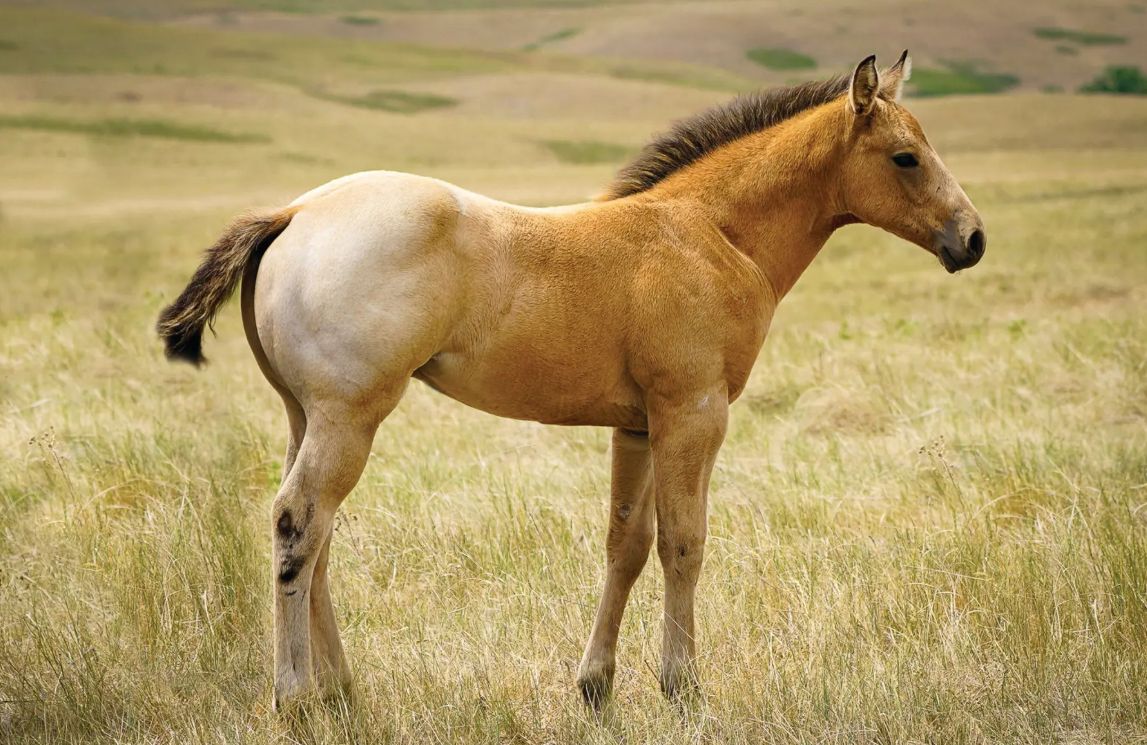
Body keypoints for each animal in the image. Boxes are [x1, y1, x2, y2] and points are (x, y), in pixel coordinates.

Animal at [156, 52, 985, 710]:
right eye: (905, 157)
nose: (971, 239)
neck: (710, 232)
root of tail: (294, 212)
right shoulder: (694, 413)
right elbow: (683, 542)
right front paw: (681, 685)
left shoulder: (637, 425)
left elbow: (626, 543)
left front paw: (595, 685)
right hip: (349, 416)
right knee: (298, 522)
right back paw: (296, 695)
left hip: (307, 415)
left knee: (317, 535)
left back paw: (341, 689)